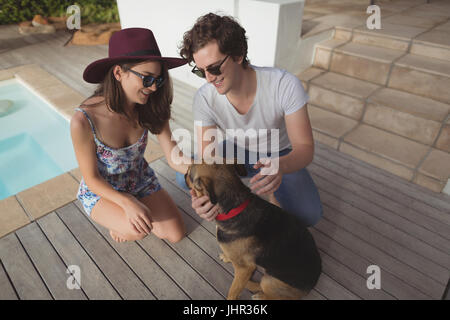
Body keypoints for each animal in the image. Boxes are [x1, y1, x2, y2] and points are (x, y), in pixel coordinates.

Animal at [185, 162, 322, 300]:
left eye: (189, 171)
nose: (184, 174)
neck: (235, 207)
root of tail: (312, 286)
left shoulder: (245, 269)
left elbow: (233, 291)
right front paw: (227, 257)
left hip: (269, 281)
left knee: (266, 289)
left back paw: (259, 294)